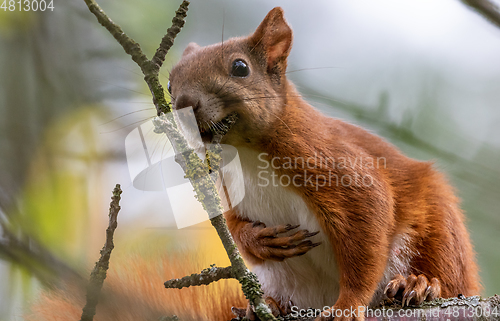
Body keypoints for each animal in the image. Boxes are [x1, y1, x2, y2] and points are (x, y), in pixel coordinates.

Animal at [168, 6, 480, 318]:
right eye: (170, 83)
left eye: (240, 67)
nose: (183, 104)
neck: (246, 154)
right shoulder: (229, 192)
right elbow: (234, 227)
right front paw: (259, 241)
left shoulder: (336, 165)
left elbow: (368, 228)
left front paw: (349, 305)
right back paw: (266, 306)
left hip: (440, 231)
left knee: (448, 273)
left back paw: (419, 284)